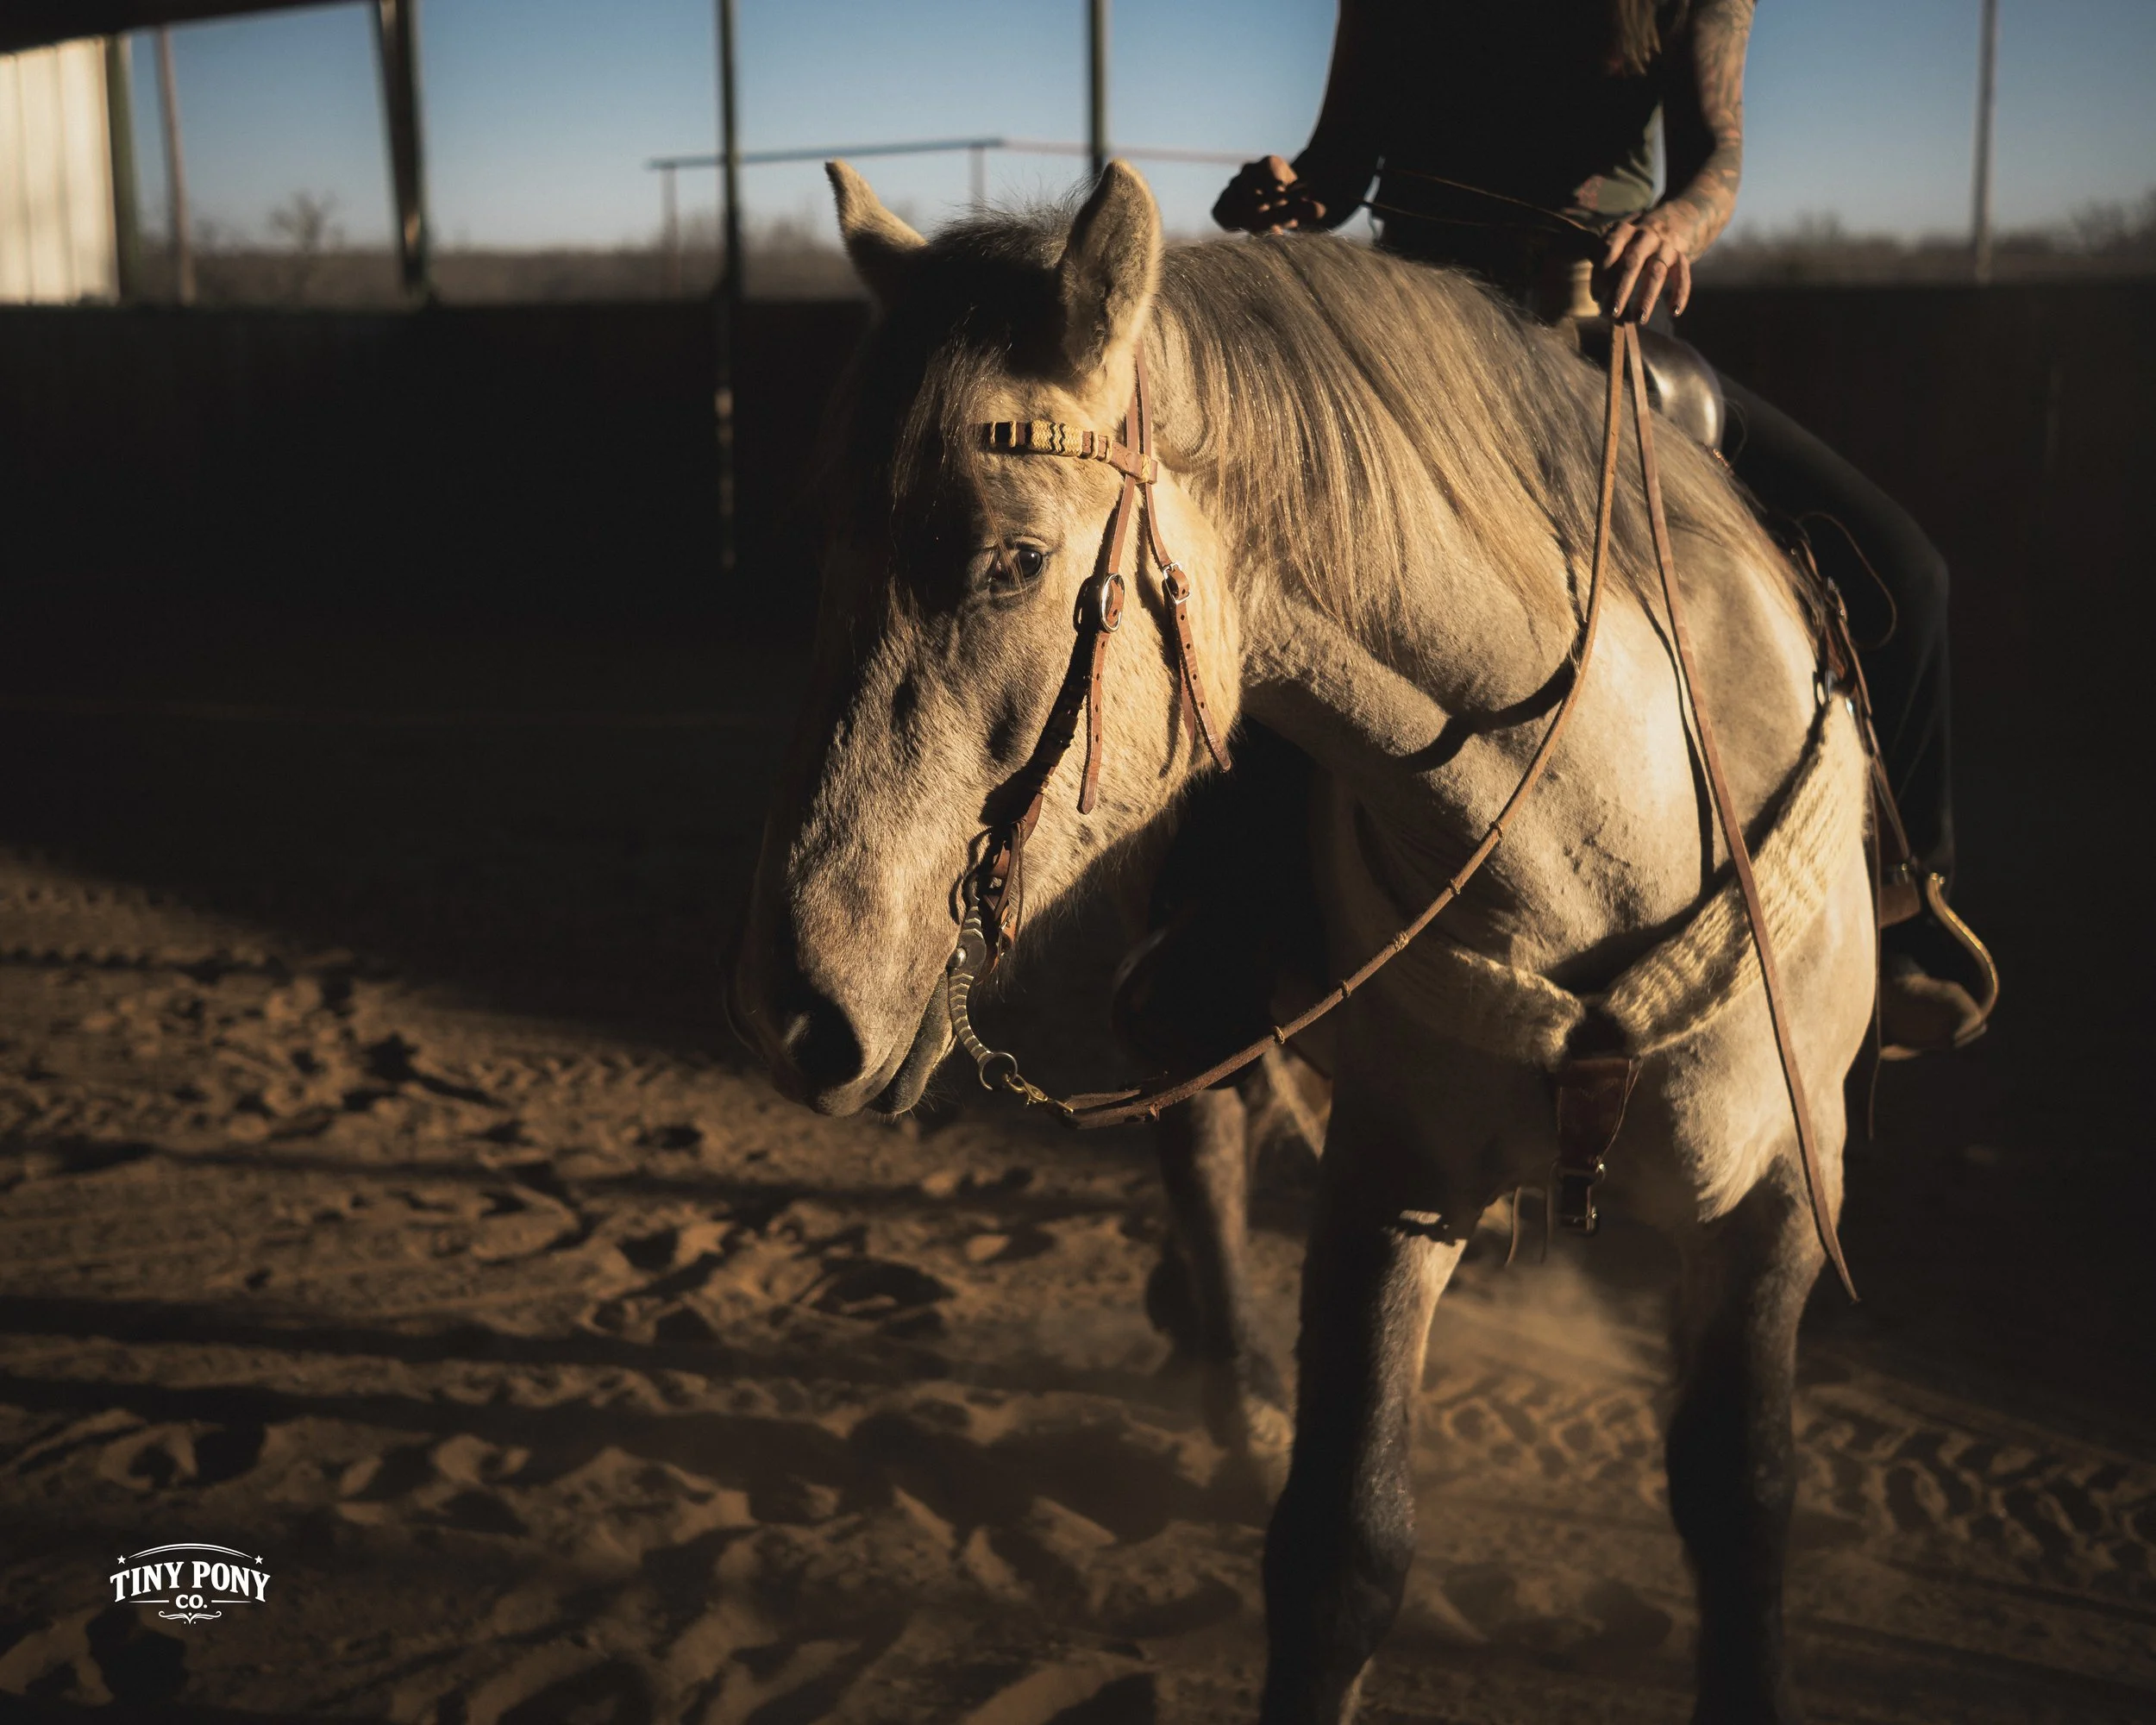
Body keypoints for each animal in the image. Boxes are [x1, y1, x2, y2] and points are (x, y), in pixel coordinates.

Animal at [730, 159, 1875, 1725]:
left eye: (1013, 561)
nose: (803, 1010)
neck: (1615, 831)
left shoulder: (1777, 1192)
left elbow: (1742, 1501)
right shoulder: (1395, 1183)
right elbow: (1342, 1549)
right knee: (1199, 1121)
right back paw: (1229, 1381)